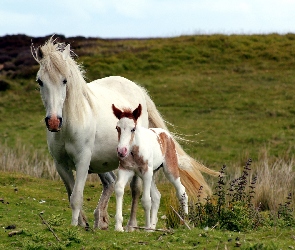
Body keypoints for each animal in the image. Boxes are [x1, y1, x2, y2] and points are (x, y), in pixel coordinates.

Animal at [31, 36, 219, 229]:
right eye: (40, 81)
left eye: (65, 80)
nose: (54, 122)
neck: (71, 124)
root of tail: (137, 89)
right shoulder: (60, 164)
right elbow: (70, 194)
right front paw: (82, 223)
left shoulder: (83, 160)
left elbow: (76, 196)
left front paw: (76, 226)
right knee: (113, 183)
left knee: (135, 189)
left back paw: (131, 224)